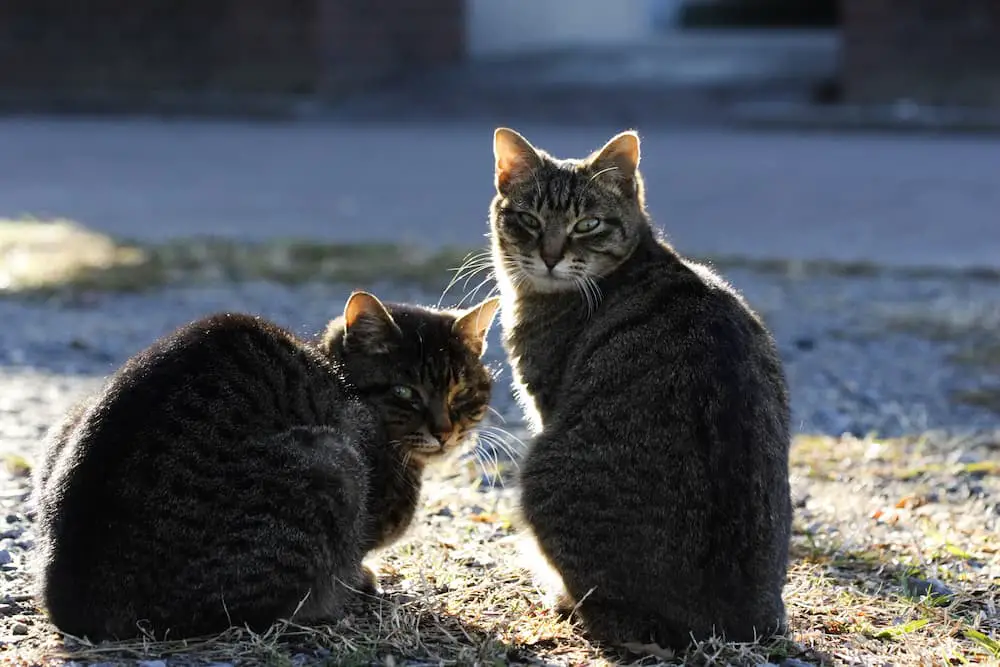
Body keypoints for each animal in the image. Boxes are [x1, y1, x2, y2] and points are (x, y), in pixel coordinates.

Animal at [31, 292, 500, 640]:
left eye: (463, 391)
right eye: (405, 392)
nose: (445, 431)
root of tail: (72, 603)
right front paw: (364, 575)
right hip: (331, 465)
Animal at [488, 126, 792, 652]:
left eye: (587, 224)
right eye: (528, 219)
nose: (549, 256)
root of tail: (734, 622)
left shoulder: (545, 404)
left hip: (539, 472)